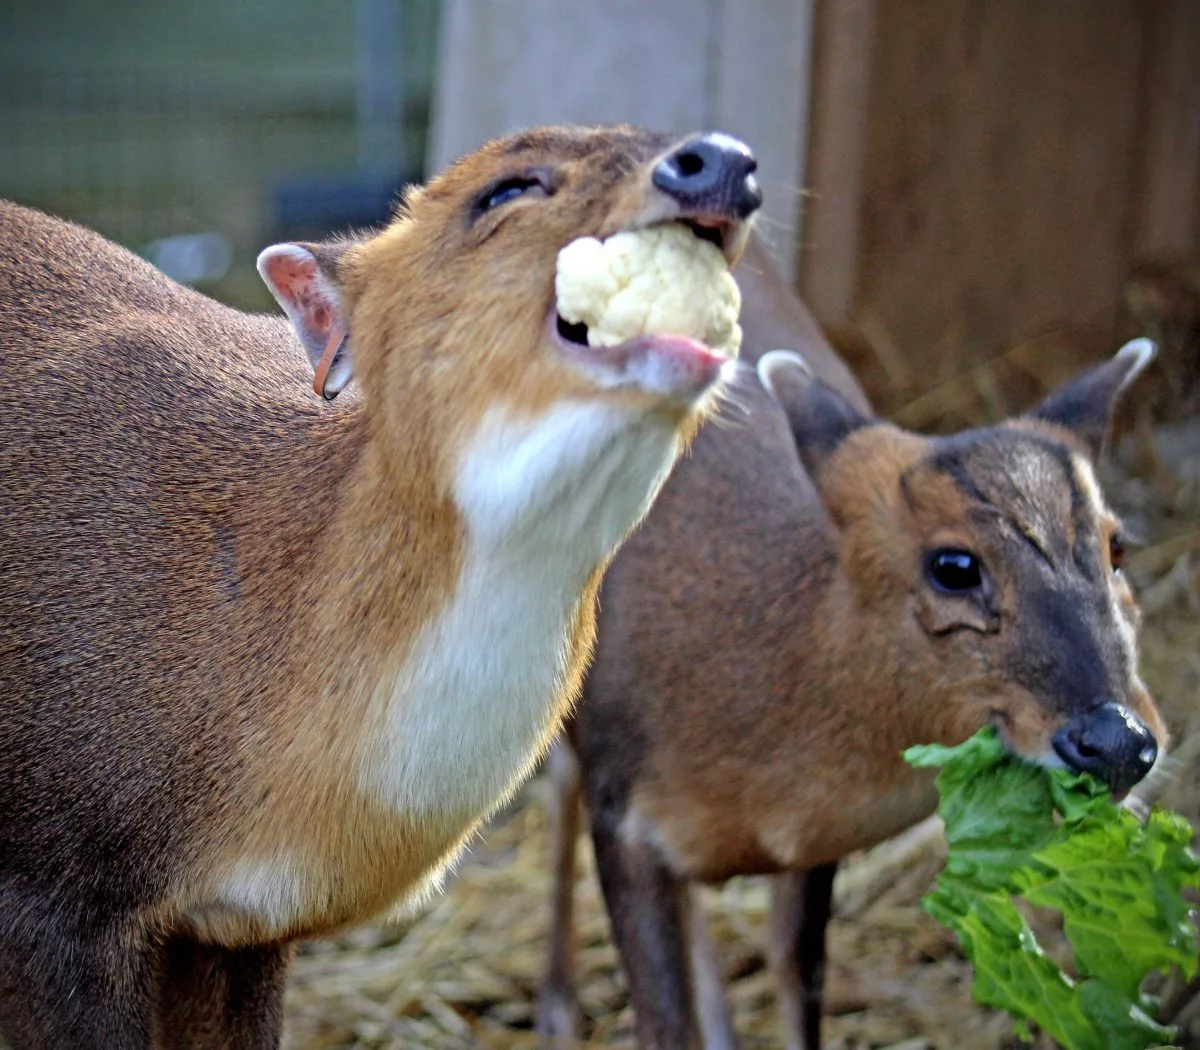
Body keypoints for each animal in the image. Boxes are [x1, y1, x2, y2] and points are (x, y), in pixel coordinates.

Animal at [542, 240, 1161, 1050]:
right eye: (953, 565)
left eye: (1118, 548)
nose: (1118, 741)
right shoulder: (622, 807)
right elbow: (663, 1017)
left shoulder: (812, 846)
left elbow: (796, 974)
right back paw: (556, 1003)